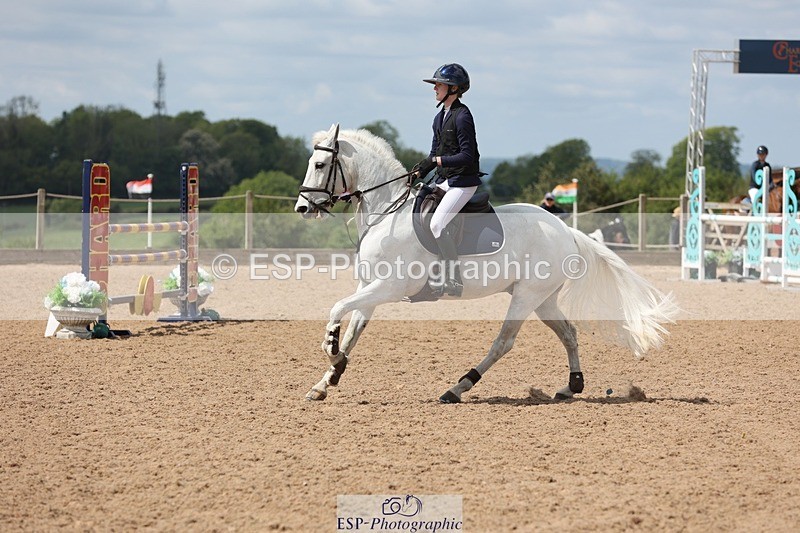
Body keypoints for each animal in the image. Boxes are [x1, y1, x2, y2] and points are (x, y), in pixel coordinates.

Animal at [294, 124, 678, 403]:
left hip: (526, 296)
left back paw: (458, 387)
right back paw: (571, 387)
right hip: (543, 298)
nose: (302, 208)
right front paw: (327, 380)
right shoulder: (370, 288)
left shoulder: (390, 287)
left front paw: (331, 351)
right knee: (568, 333)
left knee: (503, 343)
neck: (387, 213)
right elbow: (353, 331)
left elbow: (336, 310)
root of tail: (564, 229)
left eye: (319, 165)